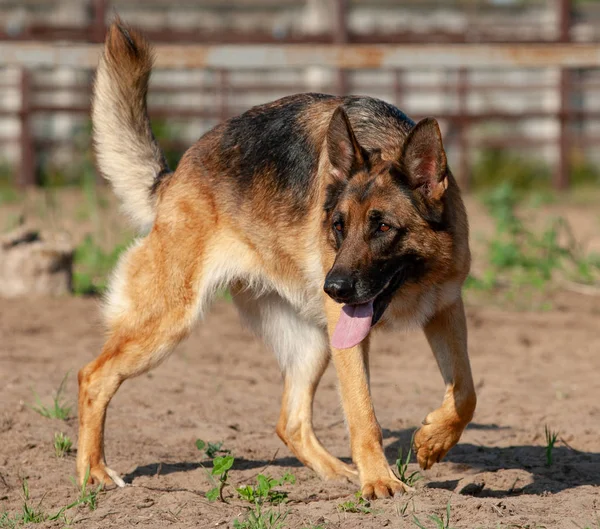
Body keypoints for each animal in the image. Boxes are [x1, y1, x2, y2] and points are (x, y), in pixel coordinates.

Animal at [77, 20, 476, 500]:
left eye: (382, 227)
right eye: (338, 226)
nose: (333, 288)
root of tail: (173, 178)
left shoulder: (445, 307)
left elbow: (465, 393)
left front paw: (433, 440)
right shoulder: (352, 333)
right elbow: (364, 414)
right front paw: (380, 481)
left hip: (316, 341)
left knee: (291, 423)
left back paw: (340, 474)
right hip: (168, 324)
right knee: (92, 377)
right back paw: (94, 472)